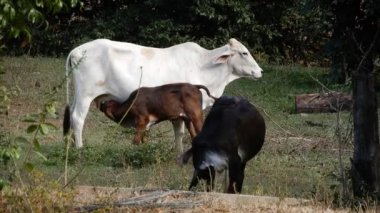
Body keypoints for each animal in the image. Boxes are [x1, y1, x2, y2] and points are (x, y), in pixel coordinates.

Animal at [63, 37, 264, 151]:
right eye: (244, 53)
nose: (260, 71)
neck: (204, 66)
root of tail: (76, 50)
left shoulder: (179, 113)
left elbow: (179, 132)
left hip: (79, 95)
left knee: (71, 116)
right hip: (85, 94)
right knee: (78, 118)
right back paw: (79, 148)